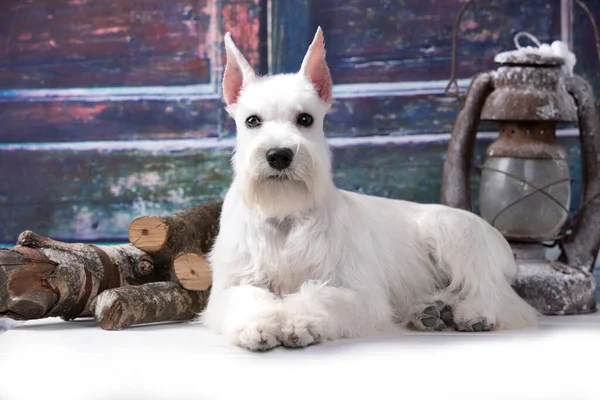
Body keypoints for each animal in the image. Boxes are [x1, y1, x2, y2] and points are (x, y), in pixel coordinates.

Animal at [203, 26, 540, 350]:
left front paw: (298, 323)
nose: (279, 155)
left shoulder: (357, 293)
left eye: (305, 118)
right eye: (252, 121)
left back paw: (474, 313)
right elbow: (247, 298)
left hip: (451, 232)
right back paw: (431, 311)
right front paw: (259, 325)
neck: (286, 216)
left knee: (496, 293)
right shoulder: (232, 285)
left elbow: (320, 297)